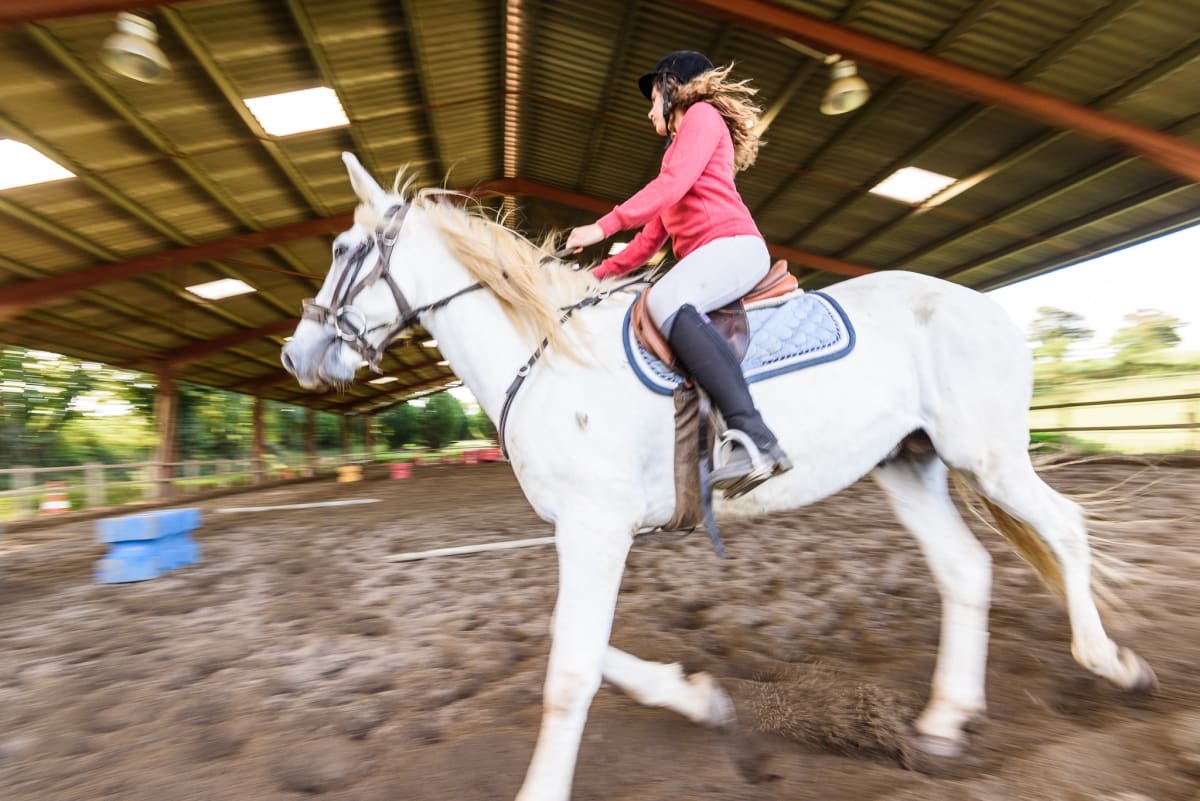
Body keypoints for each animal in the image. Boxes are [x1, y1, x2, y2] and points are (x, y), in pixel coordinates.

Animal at [278, 154, 1152, 801]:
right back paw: (942, 723)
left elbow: (570, 668)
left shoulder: (595, 529)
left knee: (1065, 528)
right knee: (966, 569)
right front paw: (700, 697)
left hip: (988, 455)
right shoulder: (584, 532)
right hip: (911, 463)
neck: (553, 360)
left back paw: (1117, 666)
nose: (295, 355)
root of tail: (987, 306)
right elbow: (574, 642)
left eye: (344, 251)